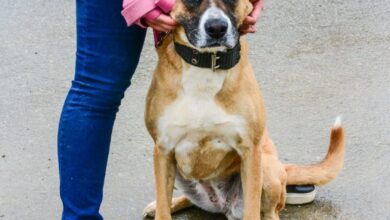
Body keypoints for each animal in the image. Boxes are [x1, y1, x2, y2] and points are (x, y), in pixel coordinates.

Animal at [142, 0, 344, 219]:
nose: (217, 28)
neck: (206, 67)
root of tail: (224, 205)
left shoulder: (250, 151)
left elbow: (252, 209)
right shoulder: (163, 150)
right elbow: (163, 209)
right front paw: (161, 207)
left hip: (265, 167)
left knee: (271, 211)